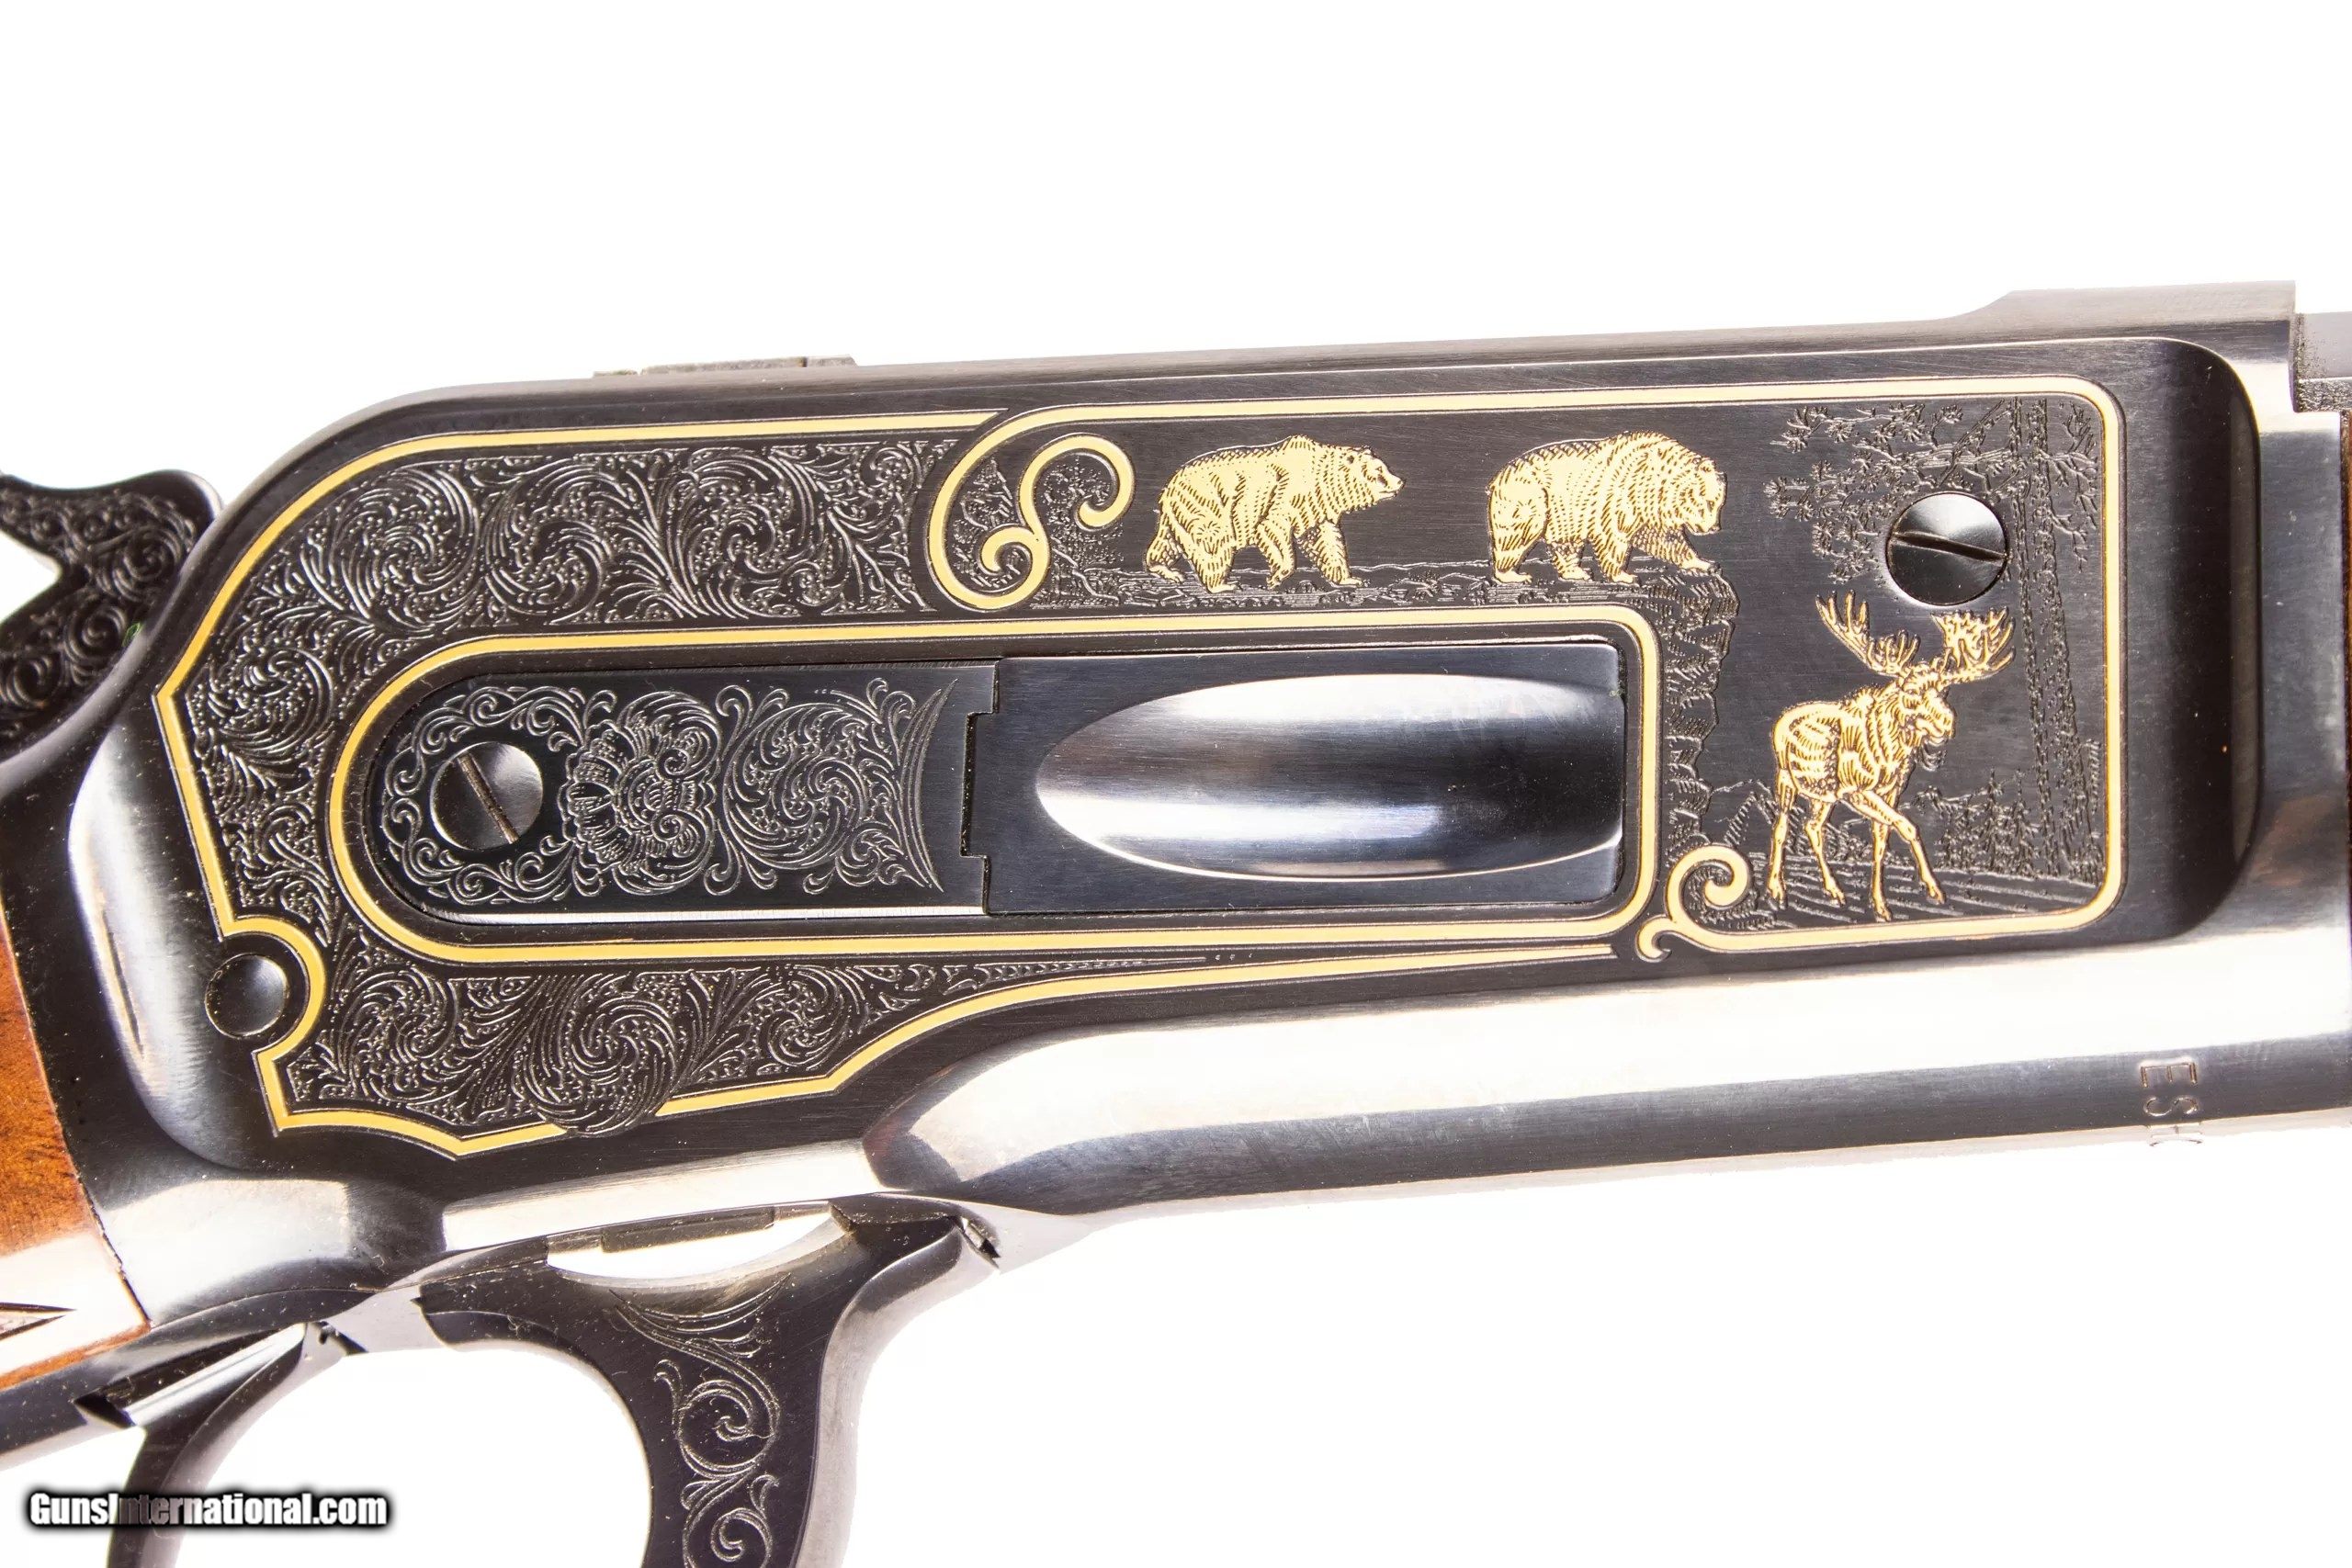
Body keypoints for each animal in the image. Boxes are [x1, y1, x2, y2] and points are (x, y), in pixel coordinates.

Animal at [1145, 435, 1403, 592]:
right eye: (1379, 471)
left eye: (1385, 466)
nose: (1400, 481)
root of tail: (1169, 486)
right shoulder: (1287, 493)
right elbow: (1272, 528)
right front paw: (1276, 577)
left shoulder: (1315, 508)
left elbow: (1327, 542)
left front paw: (1351, 578)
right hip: (1206, 504)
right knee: (1214, 543)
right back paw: (1222, 584)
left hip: (1179, 514)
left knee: (1166, 543)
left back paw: (1167, 570)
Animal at [1486, 432, 1724, 585]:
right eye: (1708, 502)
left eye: (1719, 503)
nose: (1714, 528)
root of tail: (1497, 478)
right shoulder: (1620, 500)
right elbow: (1613, 537)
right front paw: (1625, 576)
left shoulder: (1650, 513)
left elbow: (1666, 540)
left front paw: (1703, 563)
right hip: (1530, 499)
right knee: (1517, 537)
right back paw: (1513, 574)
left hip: (1563, 515)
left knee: (1567, 545)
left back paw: (1577, 572)